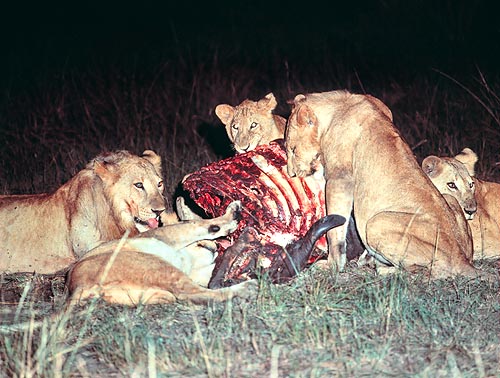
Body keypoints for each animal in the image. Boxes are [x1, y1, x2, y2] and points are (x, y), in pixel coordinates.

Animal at [67, 201, 258, 308]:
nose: (214, 248)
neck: (190, 259)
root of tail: (77, 287)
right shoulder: (169, 234)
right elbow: (198, 224)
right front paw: (232, 214)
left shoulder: (198, 271)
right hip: (154, 264)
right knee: (191, 293)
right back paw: (247, 288)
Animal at [286, 88, 484, 278]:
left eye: (292, 149)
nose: (291, 173)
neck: (337, 108)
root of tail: (462, 258)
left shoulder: (340, 179)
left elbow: (335, 232)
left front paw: (332, 266)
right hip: (450, 200)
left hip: (376, 222)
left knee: (426, 271)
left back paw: (379, 268)